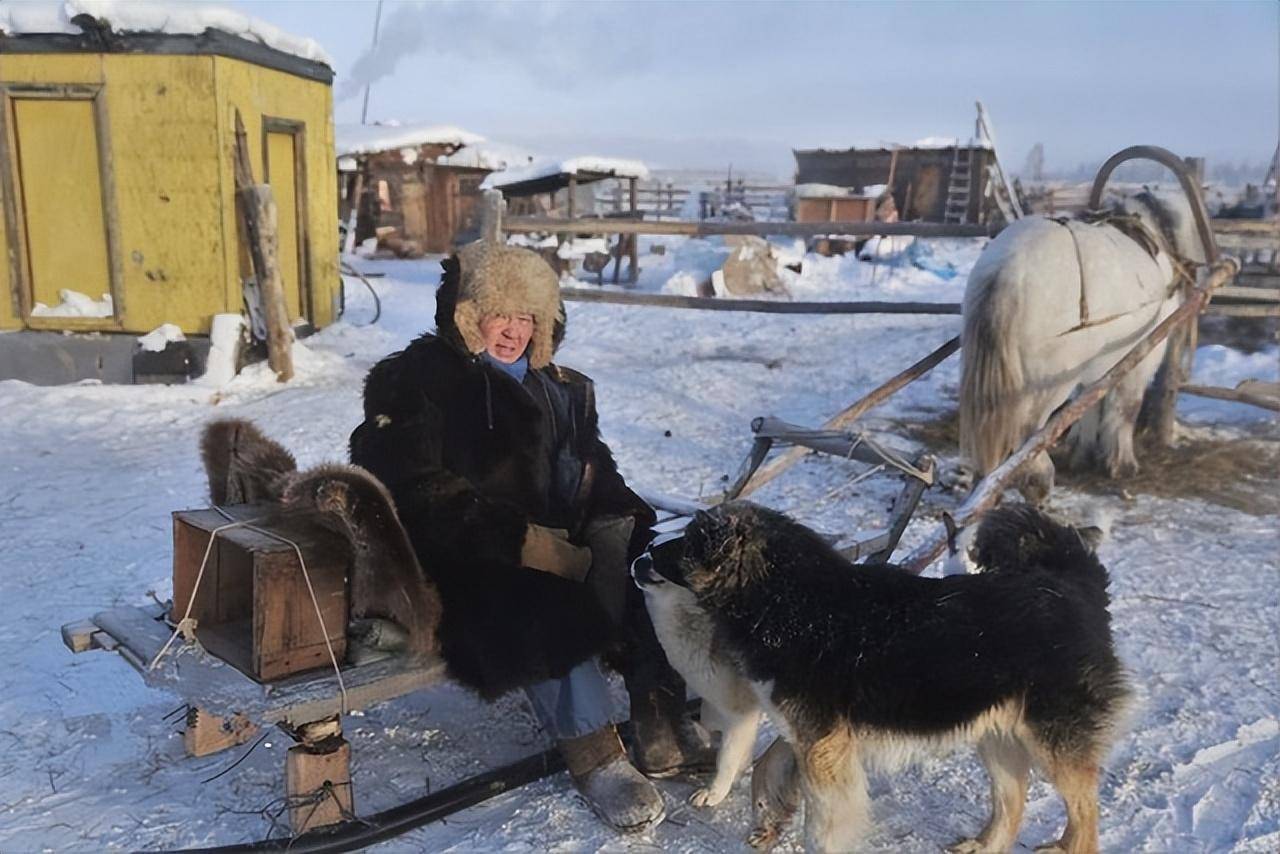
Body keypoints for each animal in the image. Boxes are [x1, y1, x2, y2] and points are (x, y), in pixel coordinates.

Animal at [634, 504, 1126, 854]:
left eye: (684, 544)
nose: (640, 557)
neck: (791, 601)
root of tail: (1075, 584)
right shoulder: (813, 733)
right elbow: (767, 764)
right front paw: (768, 813)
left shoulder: (822, 741)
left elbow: (822, 824)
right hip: (997, 735)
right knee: (1013, 802)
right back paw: (982, 845)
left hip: (1051, 742)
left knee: (1085, 820)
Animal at [962, 190, 1208, 501]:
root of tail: (1008, 271)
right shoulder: (1140, 357)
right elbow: (1126, 407)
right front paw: (1122, 463)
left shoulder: (1096, 368)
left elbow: (1087, 406)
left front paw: (1085, 453)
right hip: (1049, 381)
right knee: (1030, 431)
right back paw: (1037, 477)